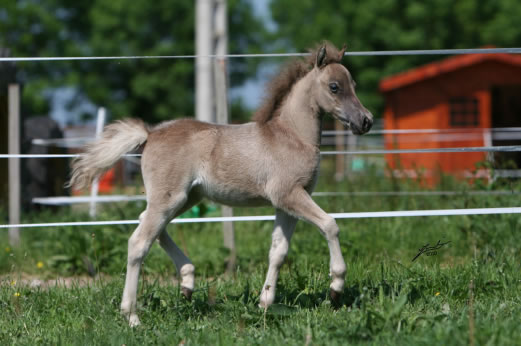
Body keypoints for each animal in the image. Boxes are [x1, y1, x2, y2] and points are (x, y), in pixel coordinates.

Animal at [68, 42, 370, 326]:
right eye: (334, 87)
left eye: (354, 85)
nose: (365, 121)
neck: (291, 136)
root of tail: (150, 133)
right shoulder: (289, 195)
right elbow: (330, 225)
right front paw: (336, 288)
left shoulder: (288, 203)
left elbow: (278, 251)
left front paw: (264, 303)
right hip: (171, 198)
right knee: (139, 241)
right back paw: (132, 316)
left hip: (186, 198)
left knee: (148, 223)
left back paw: (187, 282)